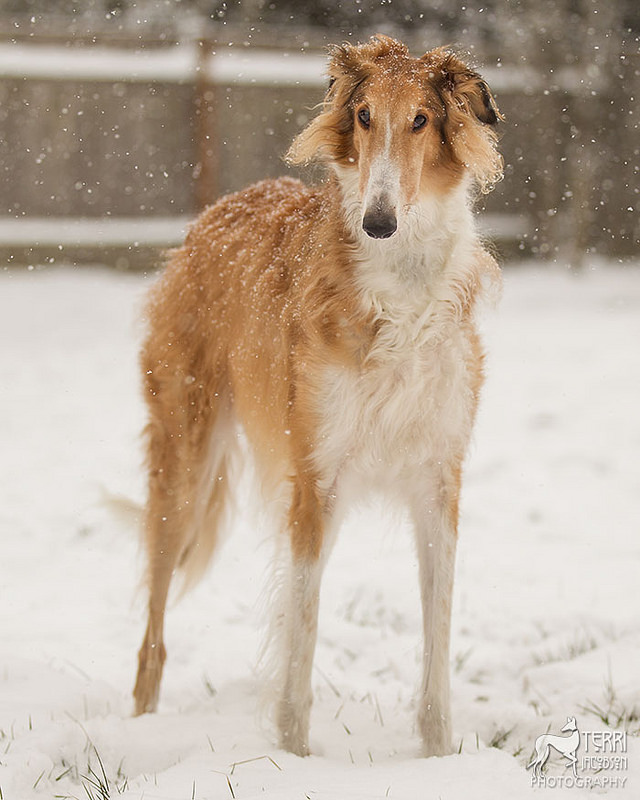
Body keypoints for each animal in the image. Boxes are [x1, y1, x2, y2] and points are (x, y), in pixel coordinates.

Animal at [132, 32, 504, 756]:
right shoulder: (316, 479)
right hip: (184, 468)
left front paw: (439, 758)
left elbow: (437, 640)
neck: (400, 291)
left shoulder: (438, 481)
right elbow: (300, 640)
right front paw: (296, 756)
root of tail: (214, 212)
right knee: (152, 640)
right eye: (363, 116)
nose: (379, 220)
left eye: (421, 120)